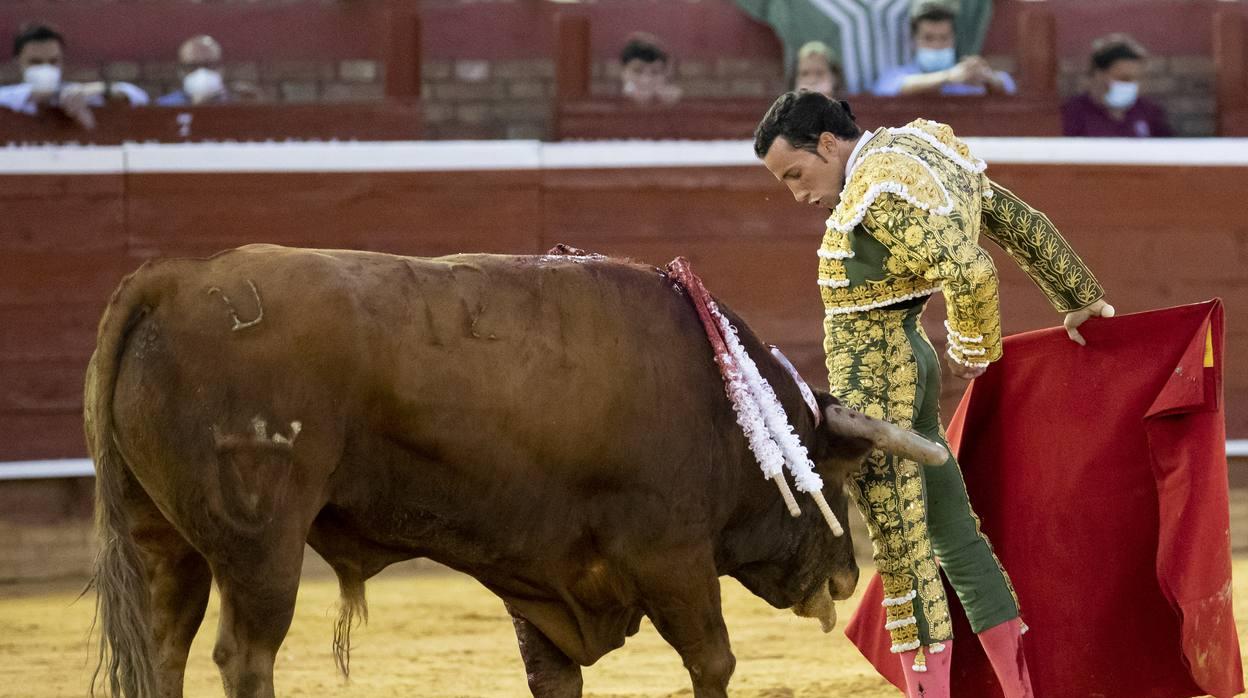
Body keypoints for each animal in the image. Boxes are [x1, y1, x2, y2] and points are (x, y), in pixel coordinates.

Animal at [85, 244, 943, 698]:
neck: (718, 398)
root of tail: (169, 281)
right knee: (245, 654)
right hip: (261, 547)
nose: (844, 576)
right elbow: (713, 659)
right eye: (827, 477)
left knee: (165, 646)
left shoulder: (544, 575)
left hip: (164, 544)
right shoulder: (671, 557)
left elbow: (553, 676)